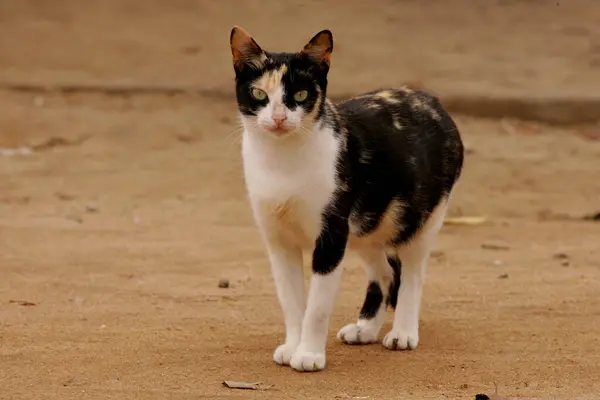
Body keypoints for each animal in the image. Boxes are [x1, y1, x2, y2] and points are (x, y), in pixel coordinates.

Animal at [229, 27, 464, 372]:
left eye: (301, 95)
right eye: (259, 94)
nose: (279, 118)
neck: (282, 161)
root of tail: (428, 98)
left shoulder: (331, 236)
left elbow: (316, 307)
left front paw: (309, 355)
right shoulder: (279, 239)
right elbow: (291, 302)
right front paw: (293, 345)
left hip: (422, 219)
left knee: (412, 273)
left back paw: (403, 332)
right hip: (367, 226)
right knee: (386, 272)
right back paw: (365, 328)